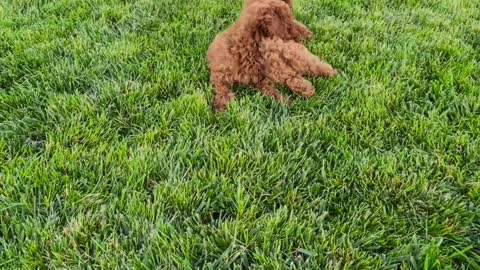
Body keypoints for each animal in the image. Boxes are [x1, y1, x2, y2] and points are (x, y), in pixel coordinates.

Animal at [207, 0, 338, 112]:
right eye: (287, 25)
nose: (305, 35)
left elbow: (287, 75)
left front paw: (303, 91)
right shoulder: (225, 74)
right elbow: (221, 89)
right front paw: (222, 106)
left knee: (312, 64)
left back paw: (329, 73)